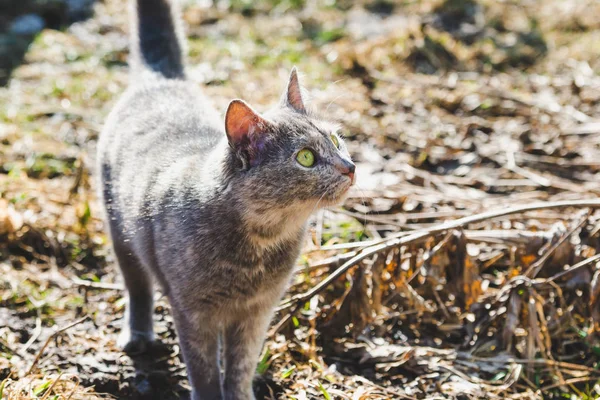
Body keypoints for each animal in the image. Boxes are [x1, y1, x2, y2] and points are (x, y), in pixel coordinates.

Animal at [96, 0, 354, 400]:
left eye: (337, 140)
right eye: (306, 157)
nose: (350, 167)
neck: (260, 243)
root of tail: (162, 80)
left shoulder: (258, 311)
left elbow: (241, 364)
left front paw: (239, 393)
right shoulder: (193, 312)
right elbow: (202, 369)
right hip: (120, 232)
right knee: (137, 286)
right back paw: (138, 336)